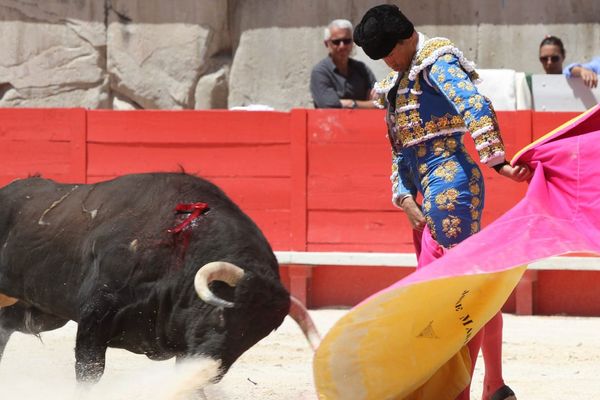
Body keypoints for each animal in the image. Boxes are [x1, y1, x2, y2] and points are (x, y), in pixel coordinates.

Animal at [0, 173, 318, 384]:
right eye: (221, 317)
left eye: (254, 336)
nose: (210, 371)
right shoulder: (94, 320)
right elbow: (90, 372)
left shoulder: (184, 349)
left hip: (41, 314)